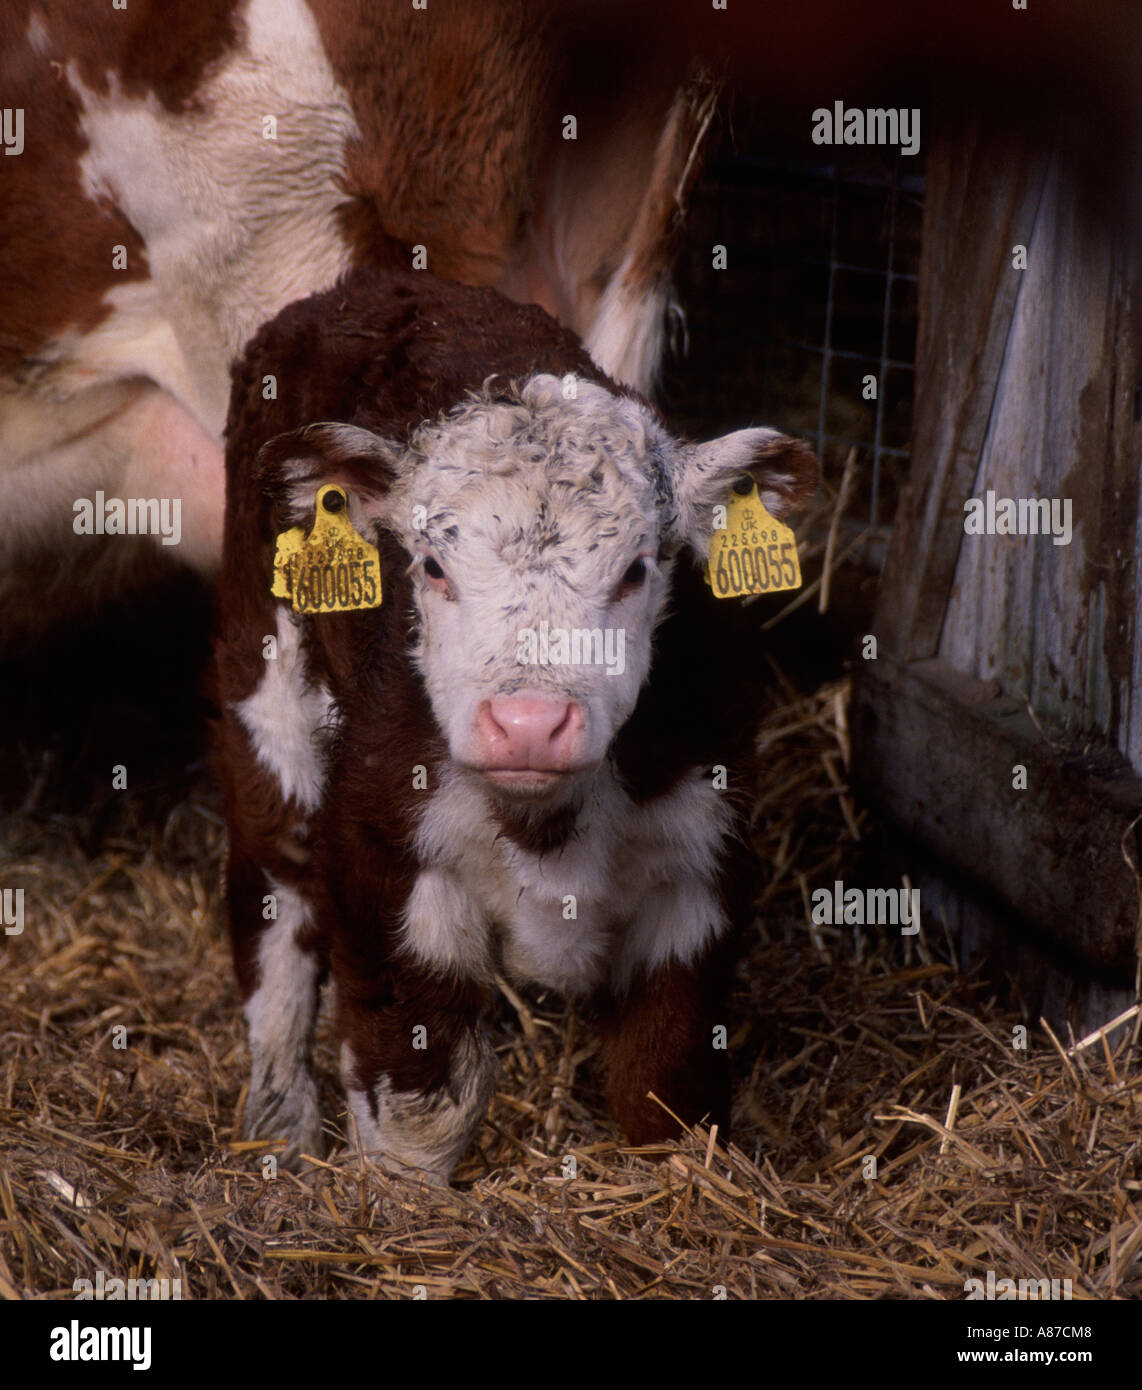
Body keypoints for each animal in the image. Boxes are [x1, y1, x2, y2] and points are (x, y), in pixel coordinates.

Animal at [215, 264, 818, 1181]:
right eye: (431, 565)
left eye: (638, 569)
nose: (529, 721)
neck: (547, 828)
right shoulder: (383, 853)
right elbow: (423, 1101)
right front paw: (404, 1198)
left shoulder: (703, 862)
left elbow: (664, 1083)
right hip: (269, 687)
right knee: (275, 894)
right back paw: (278, 1124)